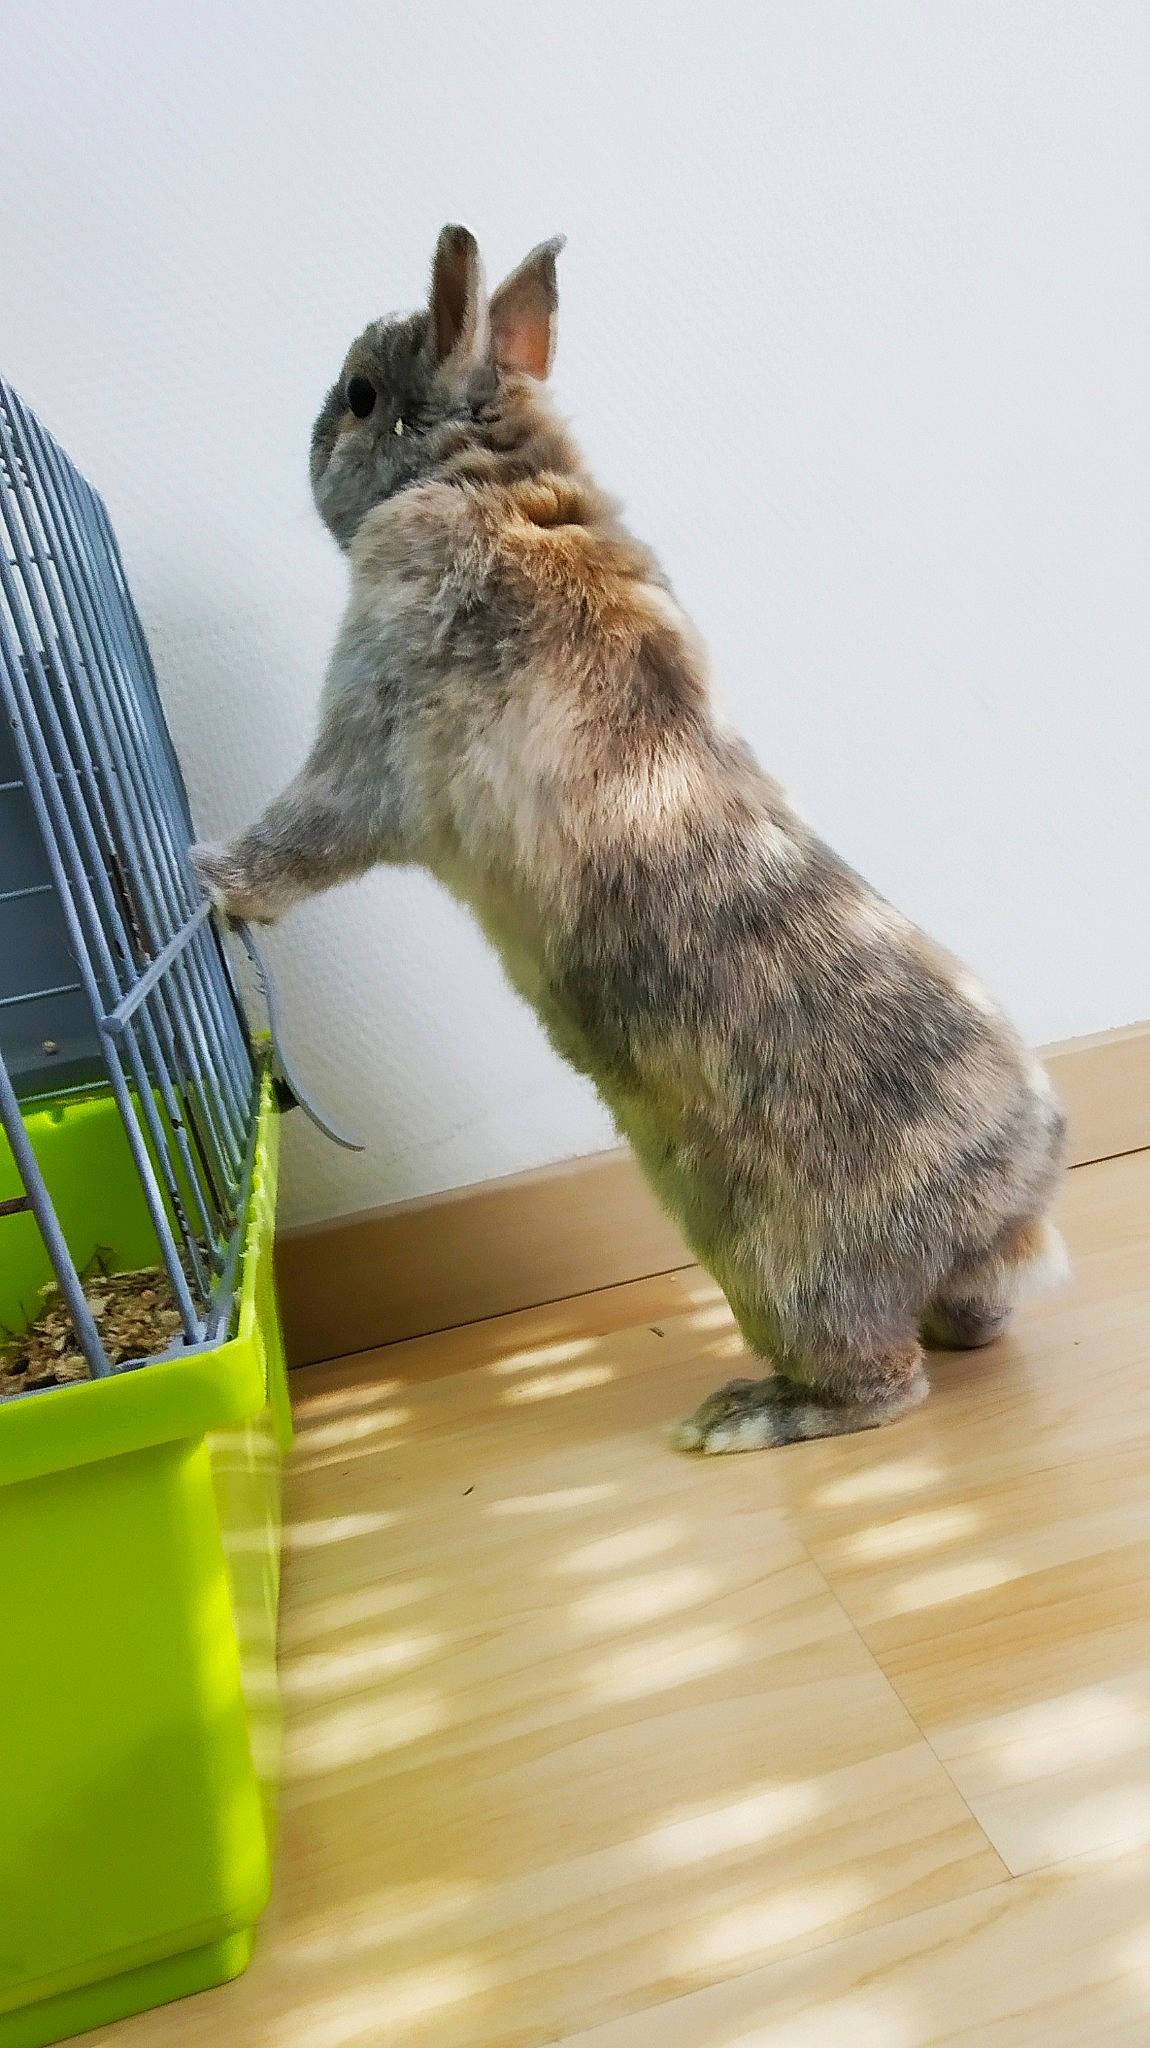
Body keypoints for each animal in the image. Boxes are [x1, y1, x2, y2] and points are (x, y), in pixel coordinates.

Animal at [193, 223, 1069, 1453]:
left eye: (362, 394)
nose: (311, 437)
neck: (489, 478)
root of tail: (1011, 1204)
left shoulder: (368, 748)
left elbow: (304, 835)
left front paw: (208, 878)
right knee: (967, 1328)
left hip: (788, 1273)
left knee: (881, 1386)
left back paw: (742, 1419)